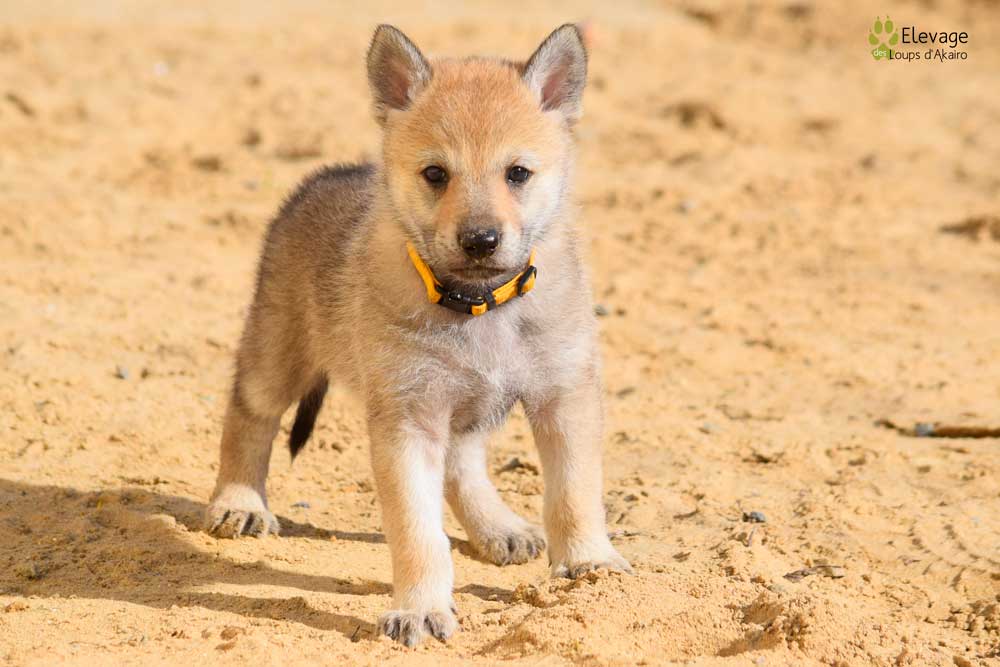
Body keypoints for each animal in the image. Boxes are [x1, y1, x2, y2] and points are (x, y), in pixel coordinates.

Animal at [204, 23, 631, 646]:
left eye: (517, 173)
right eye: (435, 174)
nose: (480, 240)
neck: (478, 305)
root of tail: (327, 175)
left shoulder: (563, 395)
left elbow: (574, 493)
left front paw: (588, 563)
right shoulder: (407, 420)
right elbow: (416, 532)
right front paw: (421, 609)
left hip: (468, 406)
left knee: (462, 464)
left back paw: (496, 526)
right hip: (278, 352)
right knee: (248, 414)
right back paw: (239, 501)